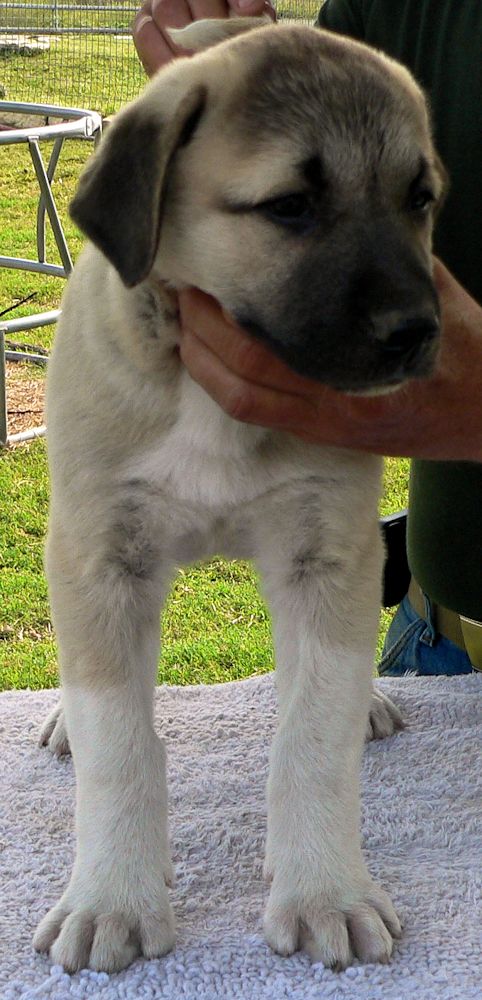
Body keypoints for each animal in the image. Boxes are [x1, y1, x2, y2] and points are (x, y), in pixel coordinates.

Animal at [34, 19, 444, 972]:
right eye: (289, 207)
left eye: (419, 199)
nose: (419, 332)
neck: (207, 392)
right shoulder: (102, 555)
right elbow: (119, 742)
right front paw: (111, 897)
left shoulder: (326, 553)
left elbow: (314, 735)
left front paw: (326, 890)